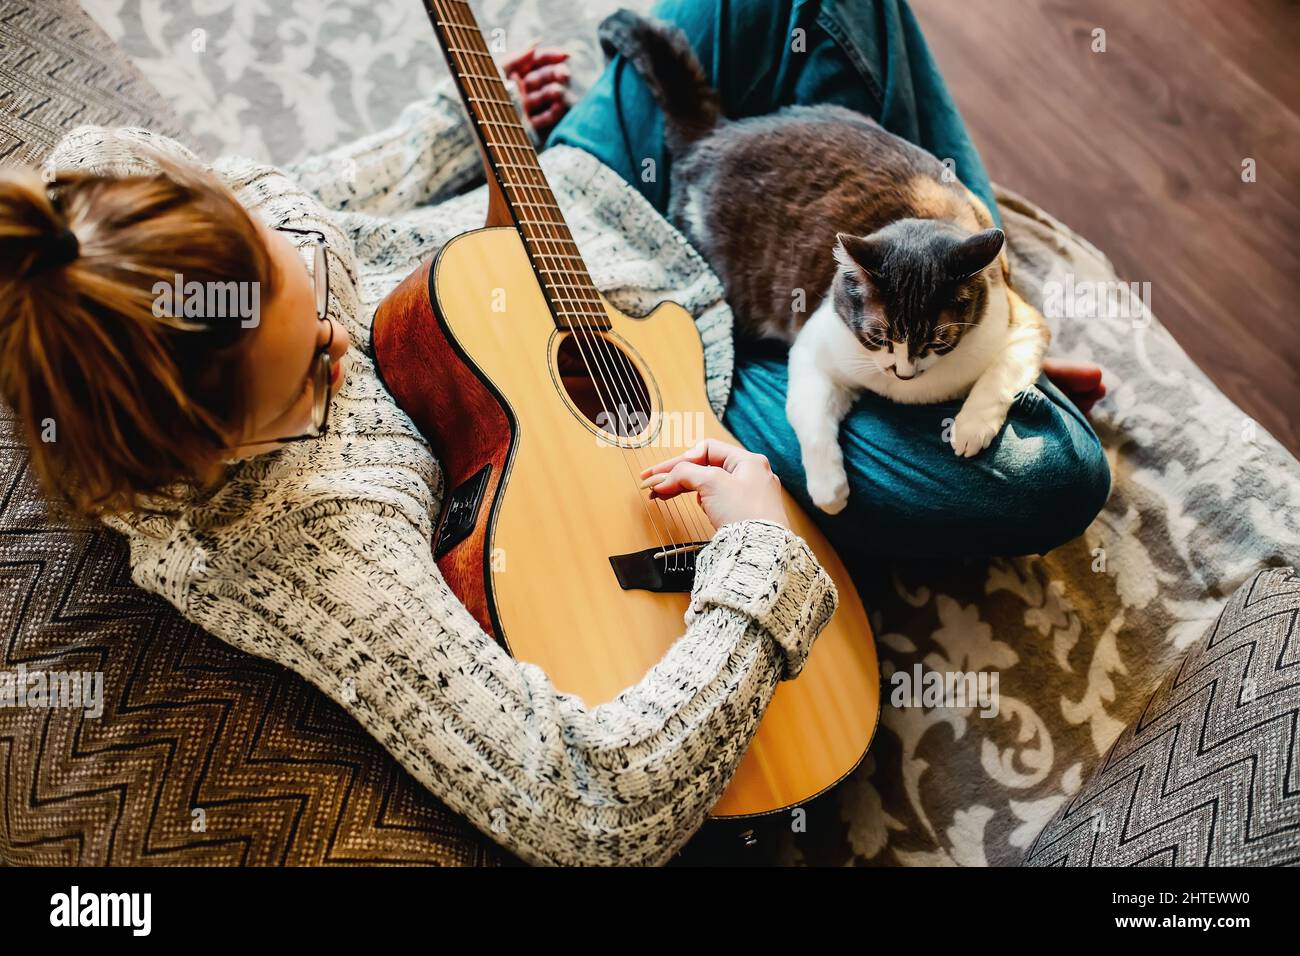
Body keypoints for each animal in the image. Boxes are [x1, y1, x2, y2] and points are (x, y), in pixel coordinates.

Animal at [595, 7, 1045, 515]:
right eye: (878, 337)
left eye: (937, 341)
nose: (902, 373)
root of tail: (716, 132)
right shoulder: (816, 347)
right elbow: (809, 415)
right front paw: (829, 491)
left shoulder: (1020, 319)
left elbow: (1004, 371)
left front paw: (970, 427)